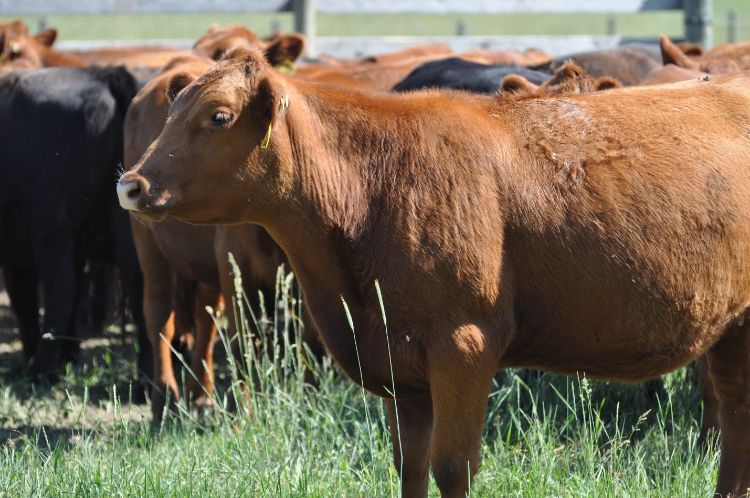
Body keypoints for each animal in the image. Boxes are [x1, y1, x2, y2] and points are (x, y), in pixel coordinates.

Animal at [119, 49, 750, 498]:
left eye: (219, 116)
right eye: (174, 112)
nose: (131, 184)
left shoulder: (463, 345)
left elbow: (451, 467)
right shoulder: (401, 368)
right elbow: (410, 465)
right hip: (732, 329)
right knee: (735, 416)